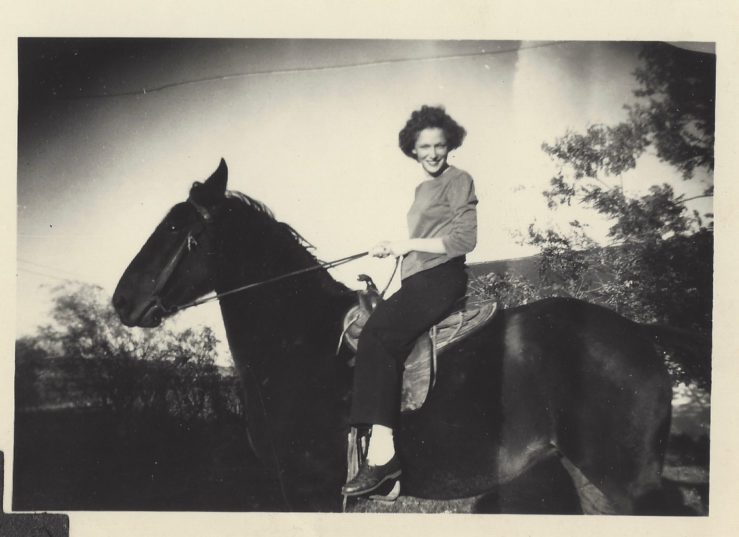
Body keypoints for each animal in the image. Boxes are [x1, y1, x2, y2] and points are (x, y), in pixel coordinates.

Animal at [115, 158, 688, 510]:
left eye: (176, 230)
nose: (121, 301)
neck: (298, 345)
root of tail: (638, 334)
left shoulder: (311, 488)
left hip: (629, 482)